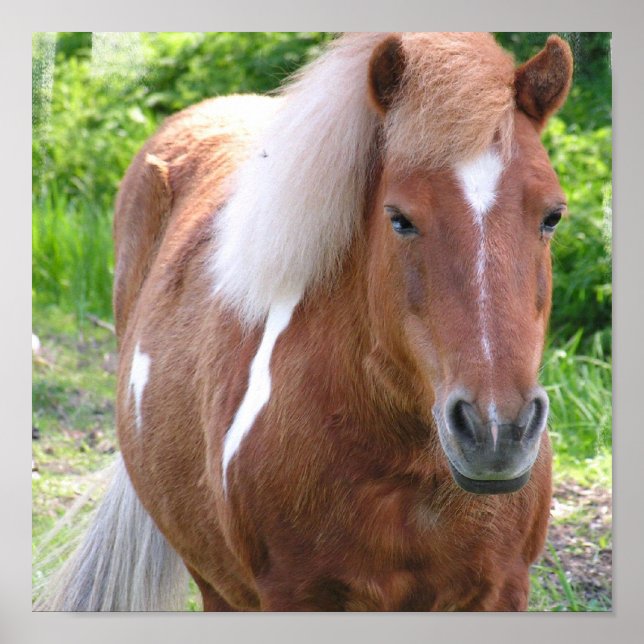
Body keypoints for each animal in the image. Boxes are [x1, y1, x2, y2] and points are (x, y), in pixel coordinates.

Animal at [37, 32, 573, 611]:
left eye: (552, 215)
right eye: (399, 218)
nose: (498, 431)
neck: (407, 473)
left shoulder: (500, 591)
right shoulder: (294, 593)